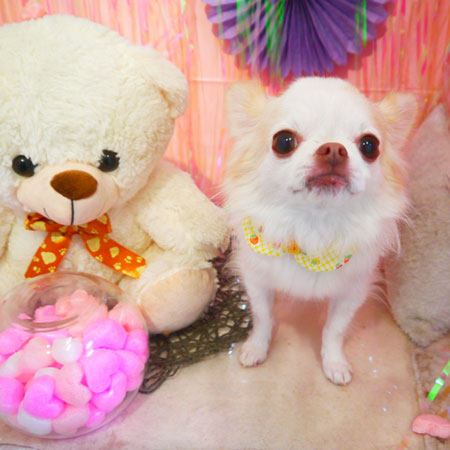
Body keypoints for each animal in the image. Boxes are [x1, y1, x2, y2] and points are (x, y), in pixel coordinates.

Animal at [223, 77, 416, 385]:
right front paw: (256, 348)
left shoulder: (352, 291)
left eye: (369, 145)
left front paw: (334, 363)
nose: (334, 148)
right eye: (283, 141)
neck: (313, 227)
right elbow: (263, 317)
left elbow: (334, 329)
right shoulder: (257, 279)